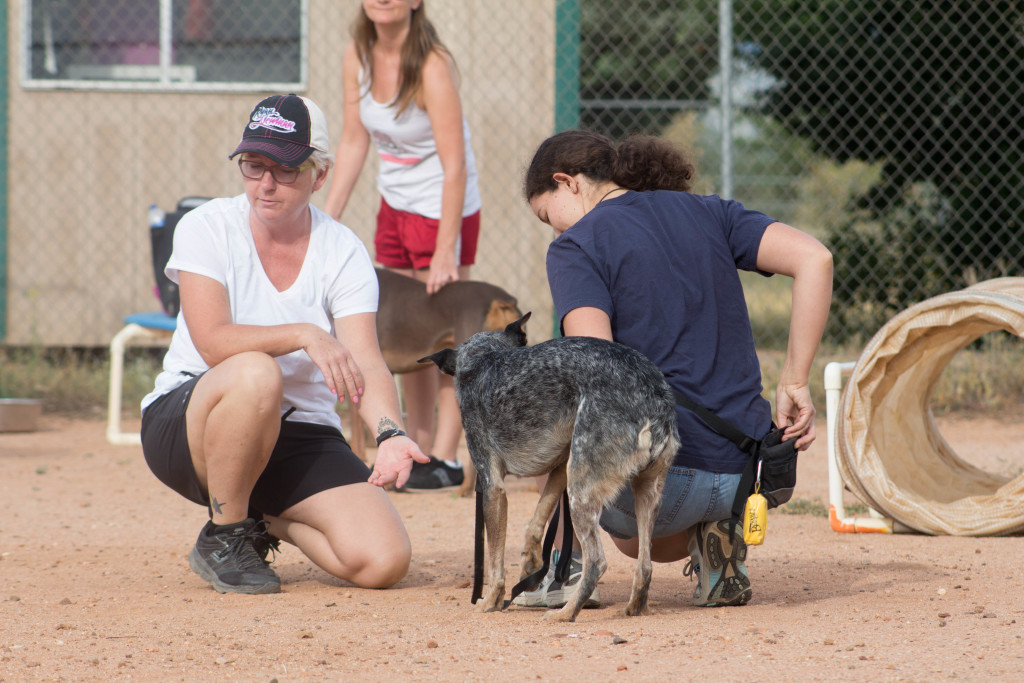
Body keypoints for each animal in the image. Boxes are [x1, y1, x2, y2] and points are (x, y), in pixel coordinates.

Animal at [423, 313, 679, 622]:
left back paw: (566, 613)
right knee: (645, 566)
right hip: (643, 495)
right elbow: (537, 519)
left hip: (581, 494)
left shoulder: (493, 486)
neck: (485, 358)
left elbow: (495, 561)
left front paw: (491, 600)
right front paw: (530, 560)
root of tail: (655, 398)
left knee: (597, 562)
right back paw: (634, 607)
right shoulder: (560, 466)